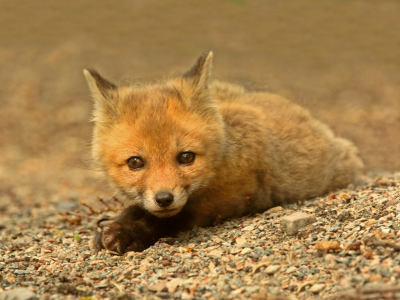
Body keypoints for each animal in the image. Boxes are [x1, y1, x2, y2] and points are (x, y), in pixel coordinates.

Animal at [83, 51, 362, 253]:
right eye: (135, 162)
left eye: (186, 157)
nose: (164, 198)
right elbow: (138, 209)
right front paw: (117, 224)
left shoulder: (229, 196)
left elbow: (171, 218)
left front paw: (129, 232)